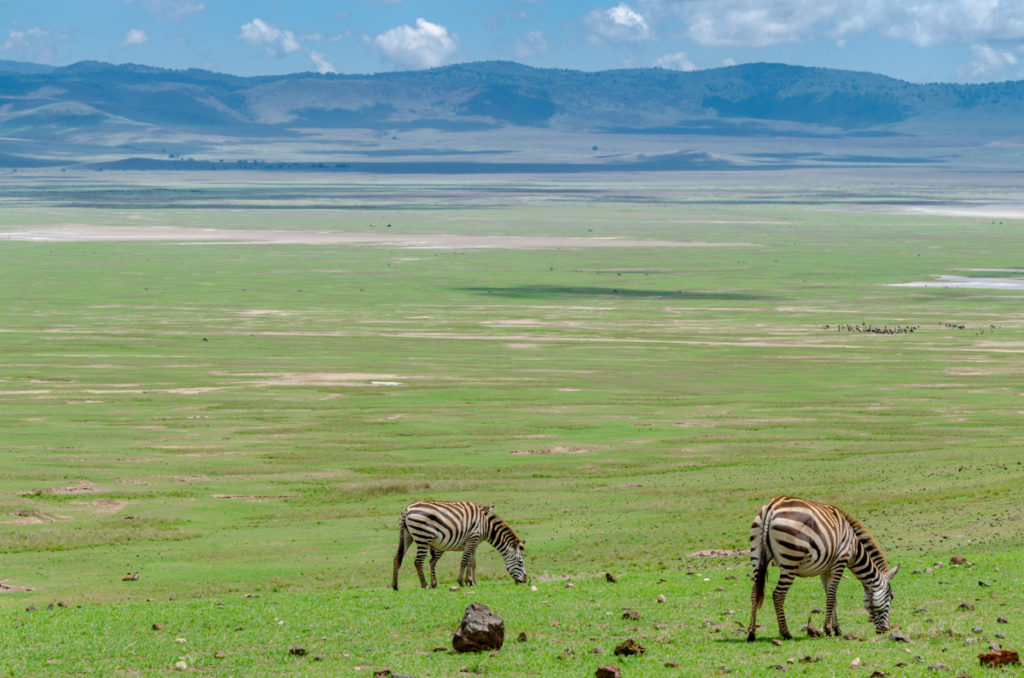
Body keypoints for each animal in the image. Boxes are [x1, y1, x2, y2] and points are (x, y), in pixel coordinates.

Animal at [391, 501, 528, 594]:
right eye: (520, 562)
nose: (525, 581)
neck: (485, 525)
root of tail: (407, 509)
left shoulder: (473, 543)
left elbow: (471, 563)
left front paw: (471, 582)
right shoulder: (472, 539)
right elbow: (464, 561)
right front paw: (462, 582)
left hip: (407, 536)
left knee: (397, 558)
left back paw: (395, 586)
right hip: (423, 537)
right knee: (418, 561)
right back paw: (425, 585)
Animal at [745, 497, 897, 639]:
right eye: (891, 596)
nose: (886, 629)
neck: (853, 546)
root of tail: (771, 507)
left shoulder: (825, 571)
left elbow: (832, 598)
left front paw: (837, 629)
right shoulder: (840, 563)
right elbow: (831, 597)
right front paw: (828, 630)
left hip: (757, 553)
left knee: (754, 593)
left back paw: (751, 633)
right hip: (790, 560)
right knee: (778, 594)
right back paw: (786, 633)